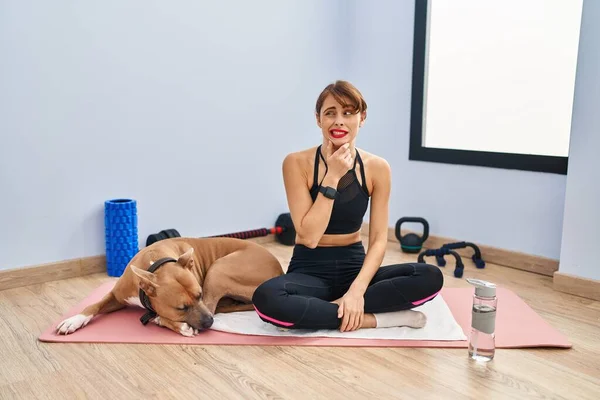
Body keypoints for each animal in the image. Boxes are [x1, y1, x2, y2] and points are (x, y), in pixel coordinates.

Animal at [54, 236, 284, 336]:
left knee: (212, 306)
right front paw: (73, 320)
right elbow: (93, 305)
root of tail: (279, 270)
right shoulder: (116, 295)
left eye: (199, 295)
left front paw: (172, 323)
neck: (155, 263)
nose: (209, 323)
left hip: (218, 269)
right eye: (181, 307)